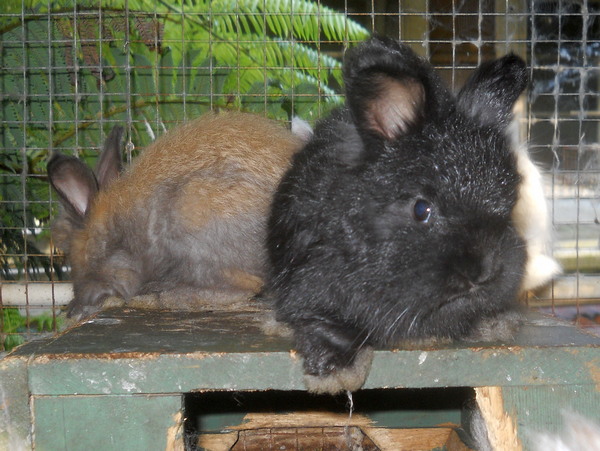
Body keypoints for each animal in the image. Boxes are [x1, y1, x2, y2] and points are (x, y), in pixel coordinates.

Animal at [270, 37, 532, 394]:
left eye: (510, 202)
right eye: (421, 209)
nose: (483, 271)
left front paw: (495, 323)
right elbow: (325, 322)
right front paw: (333, 368)